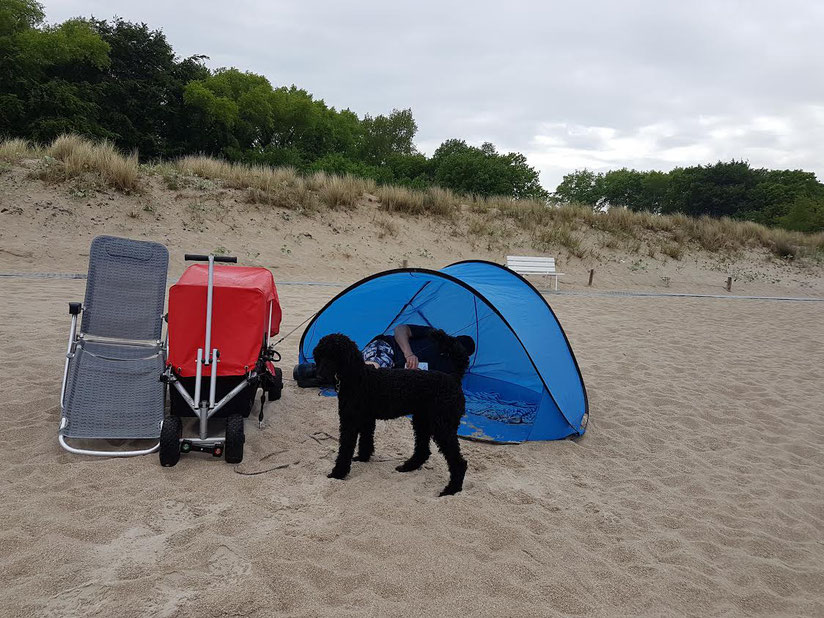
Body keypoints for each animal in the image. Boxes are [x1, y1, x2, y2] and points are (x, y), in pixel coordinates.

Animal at [314, 330, 470, 494]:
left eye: (334, 356)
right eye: (320, 354)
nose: (319, 376)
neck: (358, 377)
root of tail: (454, 378)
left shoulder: (350, 422)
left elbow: (345, 449)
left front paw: (338, 473)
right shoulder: (366, 419)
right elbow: (365, 441)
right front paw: (363, 458)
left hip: (442, 426)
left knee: (458, 462)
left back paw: (452, 489)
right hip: (422, 421)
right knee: (423, 451)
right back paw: (408, 467)